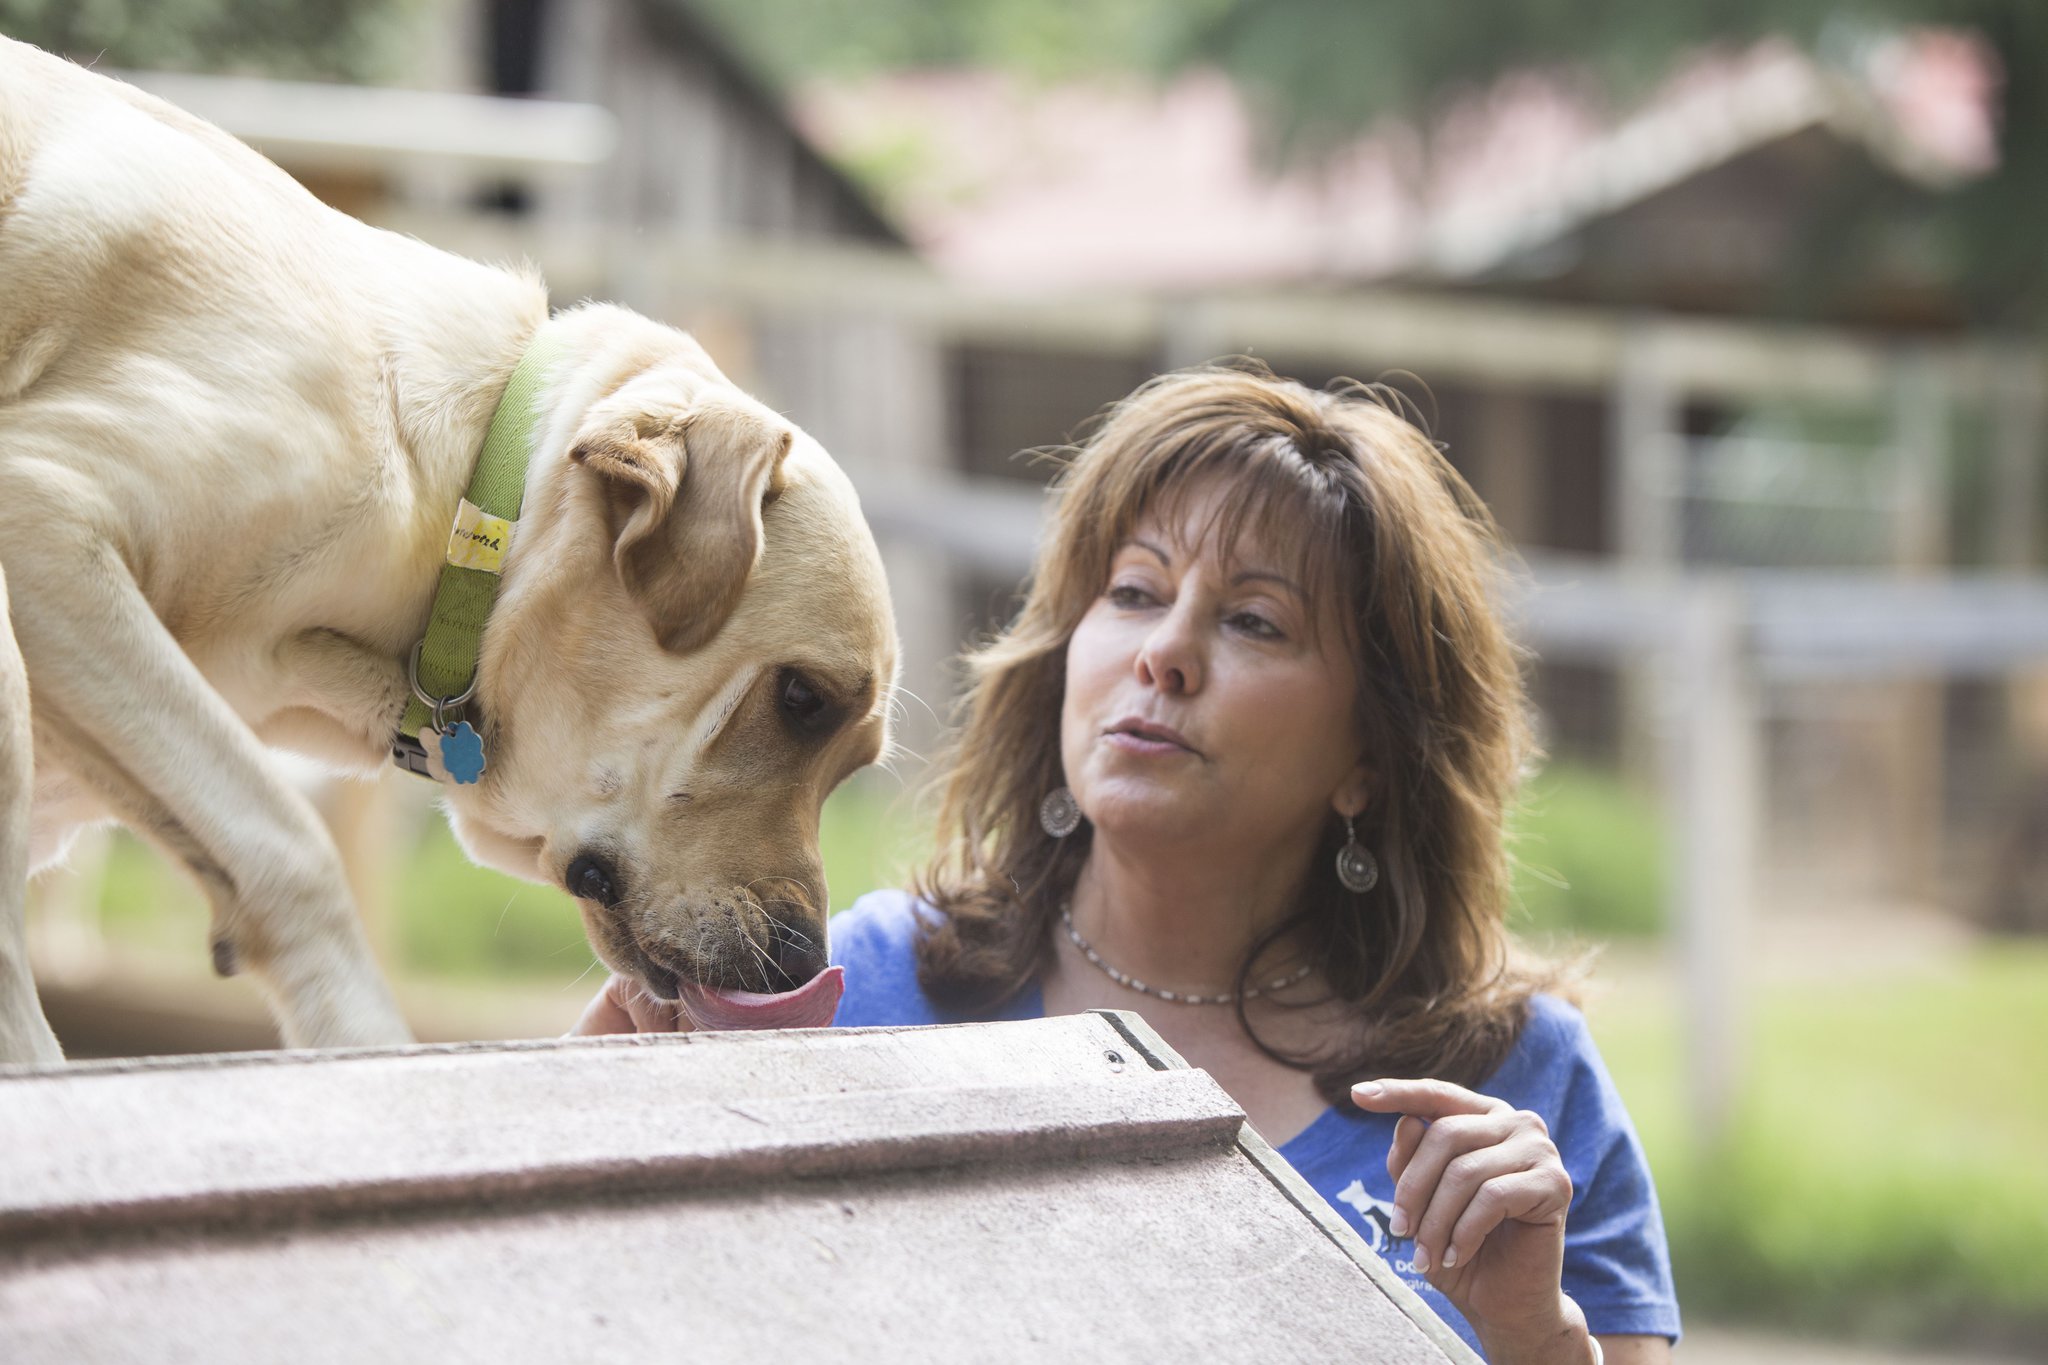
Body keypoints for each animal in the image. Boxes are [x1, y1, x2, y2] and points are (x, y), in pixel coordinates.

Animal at [0, 34, 897, 1064]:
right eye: (801, 699)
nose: (801, 963)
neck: (466, 492)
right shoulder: (43, 512)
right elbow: (287, 846)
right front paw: (358, 1035)